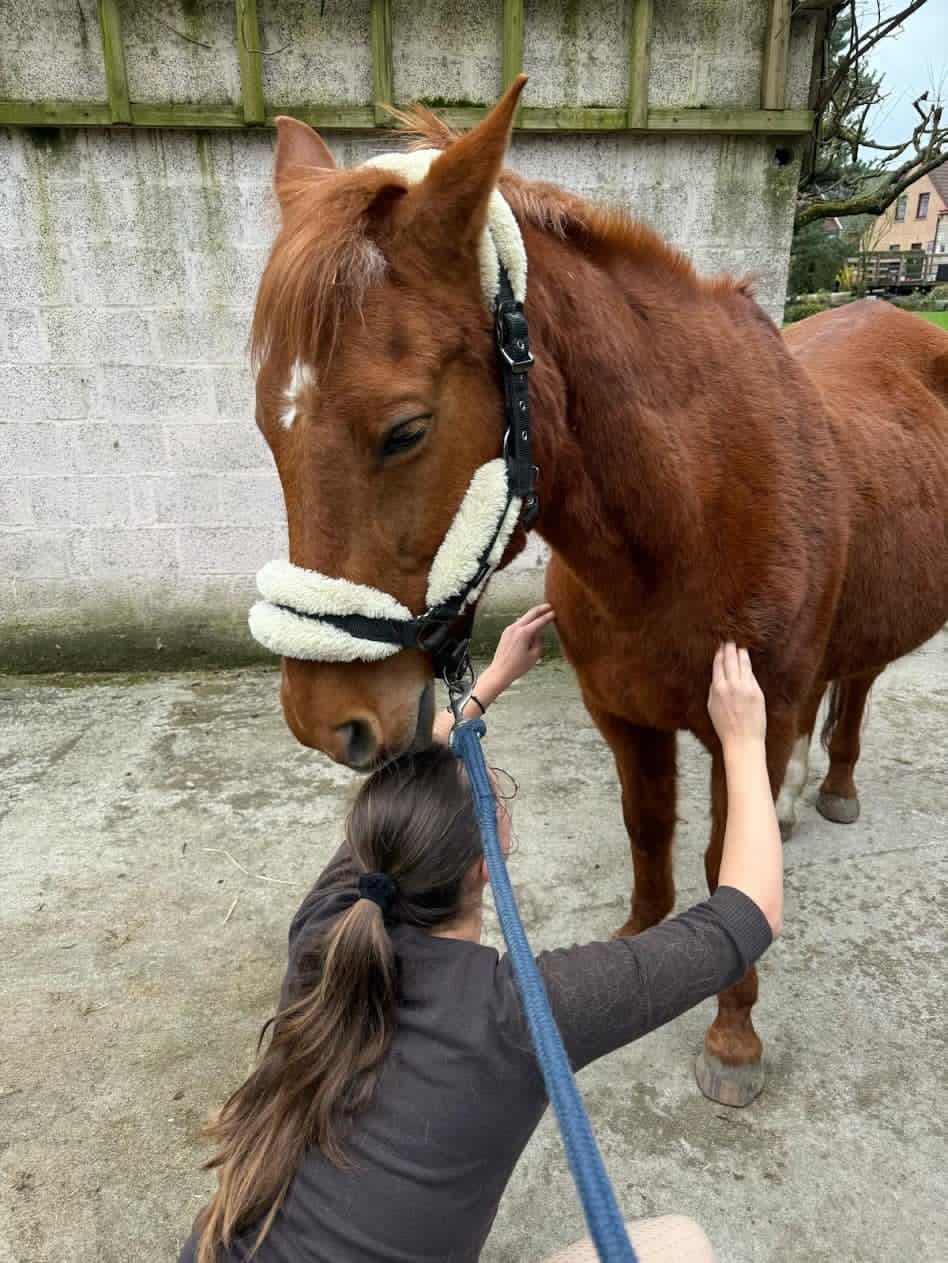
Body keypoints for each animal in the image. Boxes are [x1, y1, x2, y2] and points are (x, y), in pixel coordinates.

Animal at [246, 76, 948, 1106]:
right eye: (268, 428)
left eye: (406, 430)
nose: (323, 717)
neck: (692, 513)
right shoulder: (624, 716)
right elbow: (647, 828)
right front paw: (642, 939)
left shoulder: (750, 719)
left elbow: (722, 861)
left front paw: (733, 1033)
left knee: (854, 683)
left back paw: (835, 786)